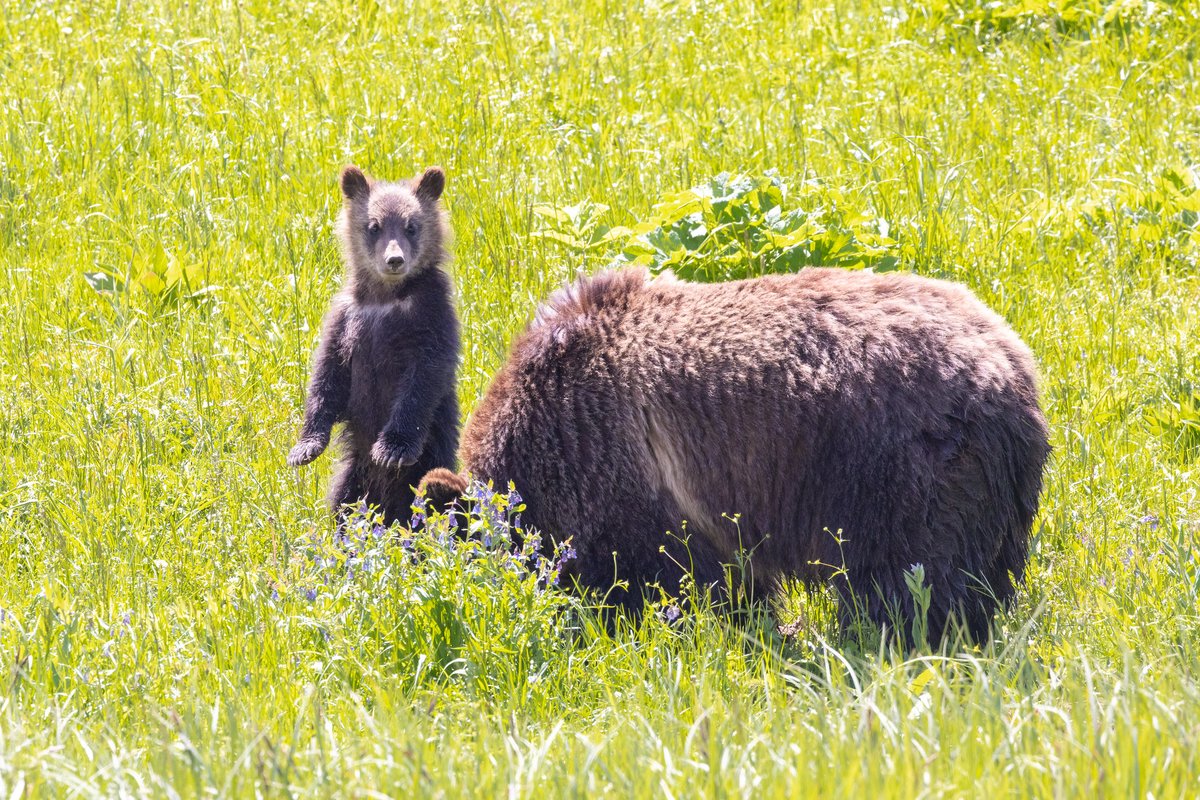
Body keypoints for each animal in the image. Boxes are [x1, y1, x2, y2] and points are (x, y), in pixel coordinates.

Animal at [288, 165, 461, 526]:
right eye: (374, 226)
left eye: (411, 226)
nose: (394, 259)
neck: (386, 297)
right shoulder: (348, 319)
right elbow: (327, 378)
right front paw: (304, 447)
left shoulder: (430, 316)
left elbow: (422, 380)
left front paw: (391, 449)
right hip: (352, 476)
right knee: (342, 503)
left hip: (428, 467)